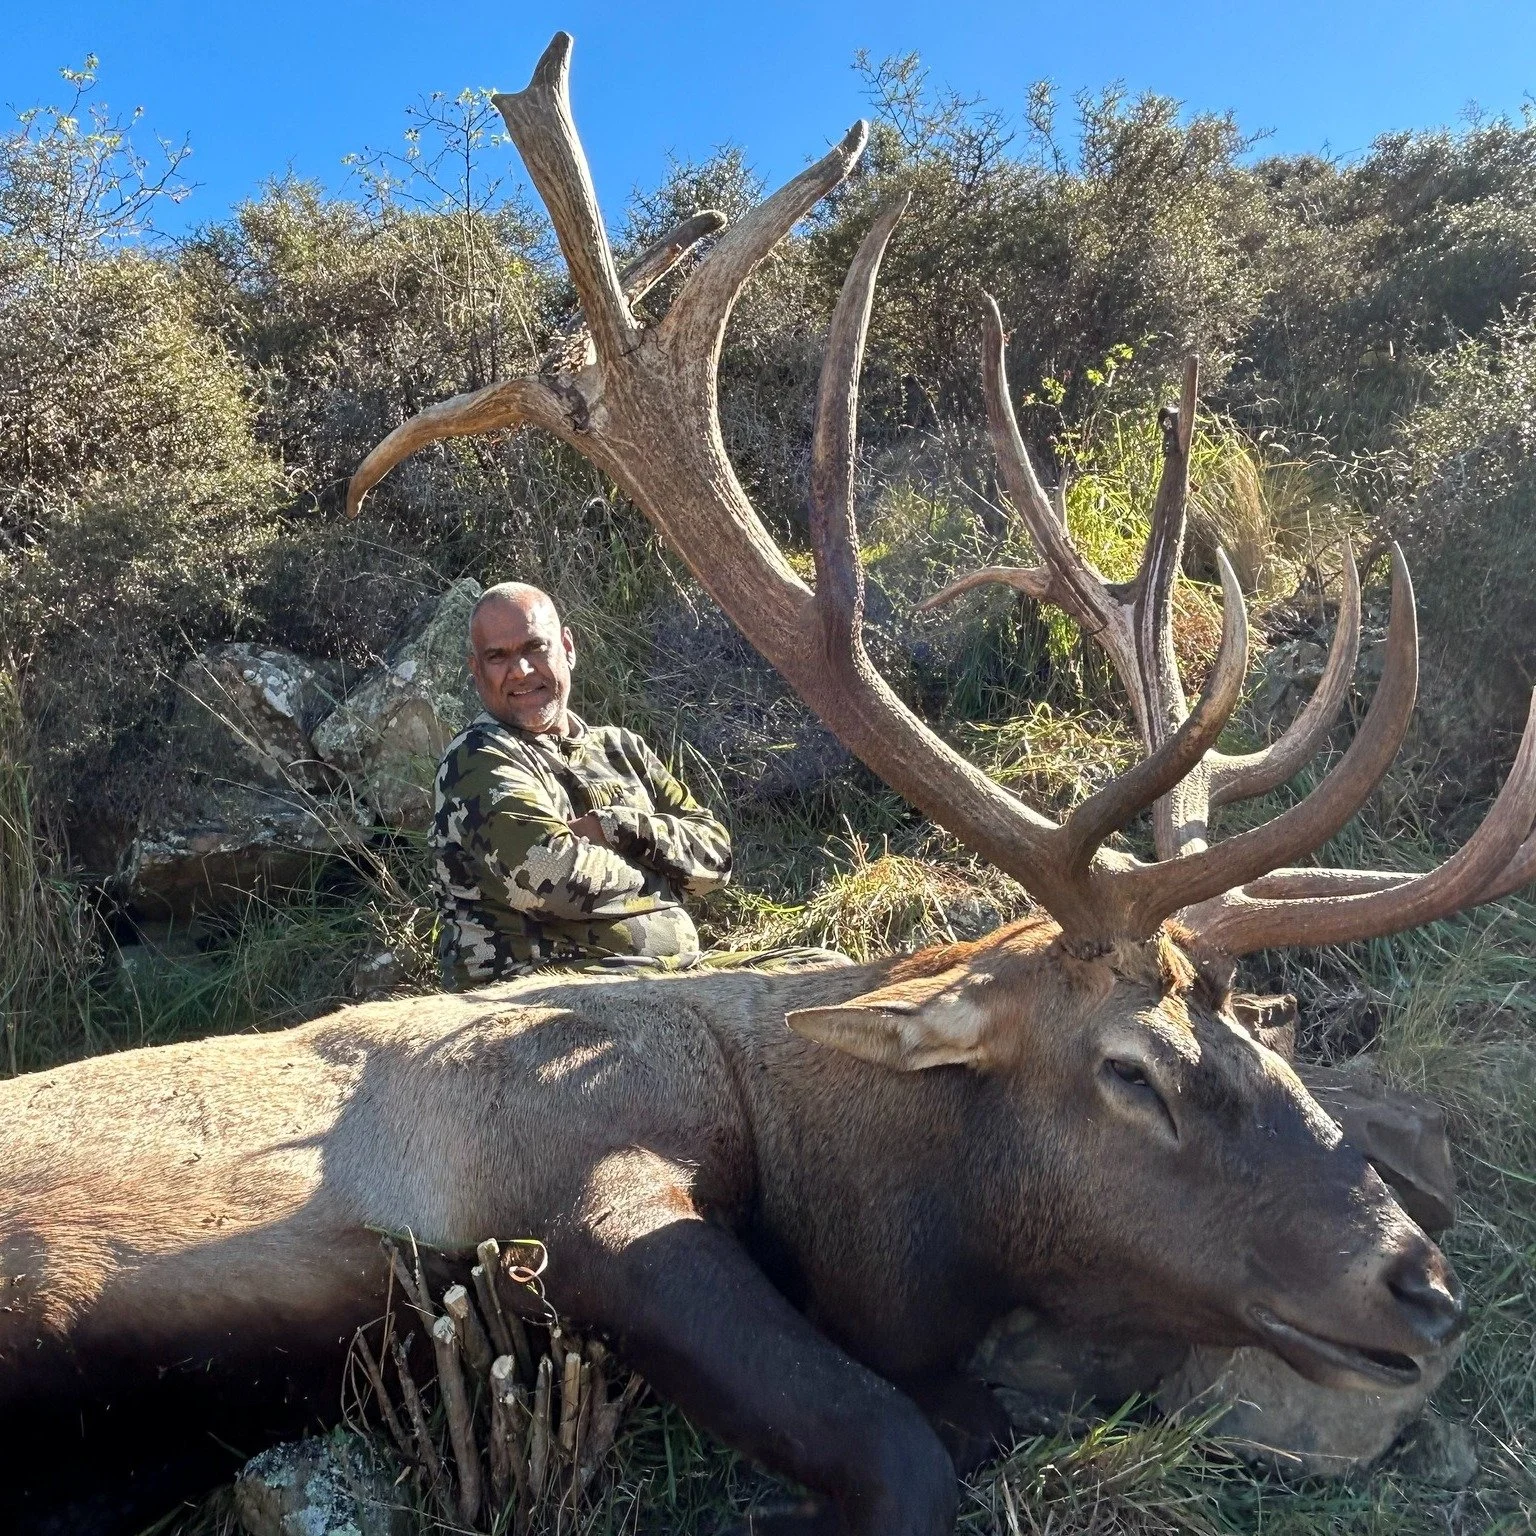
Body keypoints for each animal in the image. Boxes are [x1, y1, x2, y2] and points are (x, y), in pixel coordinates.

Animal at [4, 31, 1535, 1536]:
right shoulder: (570, 1180)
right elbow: (899, 1448)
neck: (826, 1164)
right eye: (1133, 1070)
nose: (1426, 1293)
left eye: (1266, 1032)